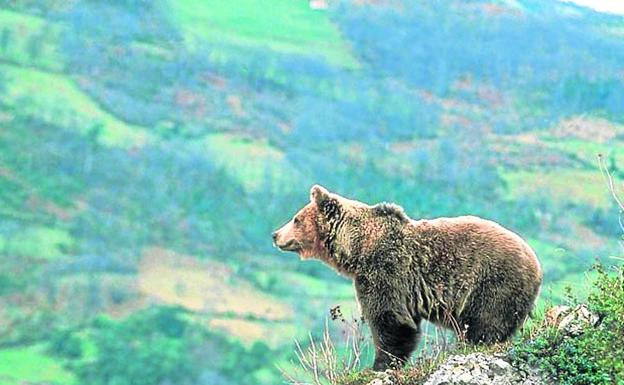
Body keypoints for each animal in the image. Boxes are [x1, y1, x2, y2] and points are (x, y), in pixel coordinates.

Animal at [272, 184, 540, 370]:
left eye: (296, 219)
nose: (275, 234)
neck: (358, 249)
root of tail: (536, 265)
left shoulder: (386, 271)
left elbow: (390, 320)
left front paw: (379, 365)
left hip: (493, 283)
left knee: (486, 325)